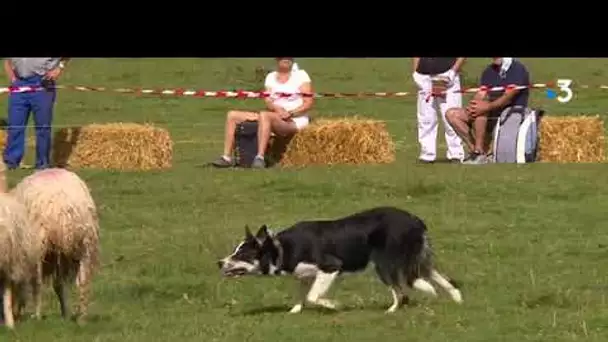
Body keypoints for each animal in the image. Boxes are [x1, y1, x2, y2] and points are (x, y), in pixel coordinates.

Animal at [10, 168, 100, 324]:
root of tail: (62, 205)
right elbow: (58, 284)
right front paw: (65, 313)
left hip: (38, 244)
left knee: (37, 282)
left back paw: (37, 315)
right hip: (84, 244)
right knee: (82, 281)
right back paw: (81, 317)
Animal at [217, 207, 460, 314]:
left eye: (241, 255)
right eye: (234, 251)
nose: (219, 262)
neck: (281, 248)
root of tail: (415, 220)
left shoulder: (330, 268)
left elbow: (314, 296)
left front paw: (333, 305)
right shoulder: (305, 276)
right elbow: (302, 296)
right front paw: (294, 311)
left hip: (384, 265)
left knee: (401, 291)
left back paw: (392, 310)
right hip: (418, 260)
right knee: (442, 279)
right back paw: (457, 299)